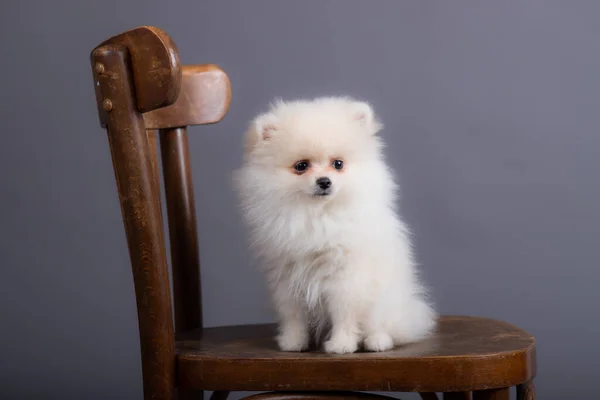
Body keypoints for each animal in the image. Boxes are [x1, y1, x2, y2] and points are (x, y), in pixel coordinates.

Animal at [234, 97, 436, 354]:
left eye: (338, 164)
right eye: (301, 166)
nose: (324, 181)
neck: (317, 214)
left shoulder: (346, 276)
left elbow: (344, 313)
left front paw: (341, 344)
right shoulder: (286, 275)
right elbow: (293, 314)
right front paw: (293, 342)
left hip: (386, 299)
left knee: (382, 324)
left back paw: (377, 341)